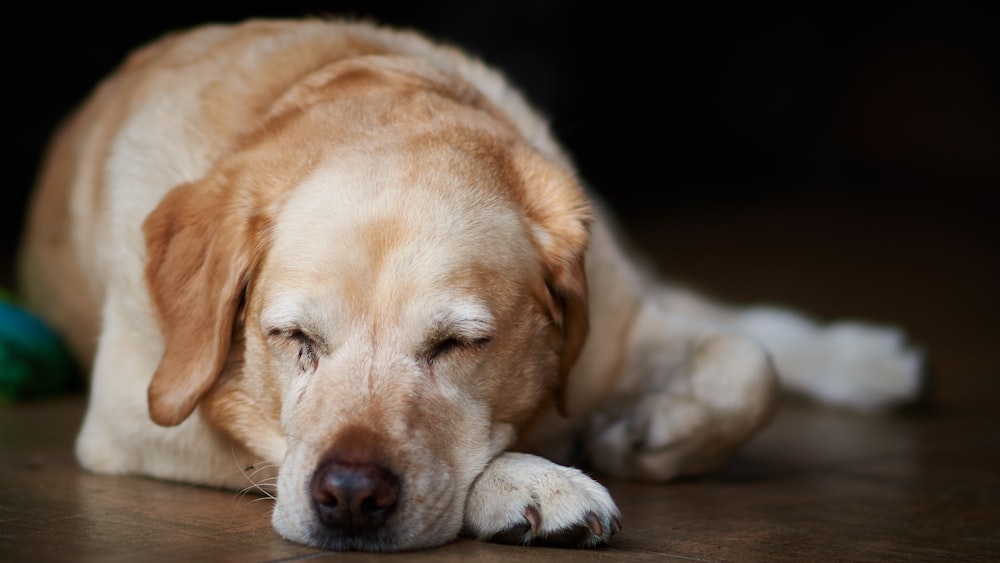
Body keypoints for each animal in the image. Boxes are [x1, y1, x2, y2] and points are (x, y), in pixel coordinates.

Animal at [15, 16, 924, 552]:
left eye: (458, 344)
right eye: (293, 339)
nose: (350, 497)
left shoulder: (616, 327)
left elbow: (748, 367)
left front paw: (645, 429)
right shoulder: (137, 412)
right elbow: (270, 435)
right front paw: (530, 479)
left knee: (736, 322)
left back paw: (868, 360)